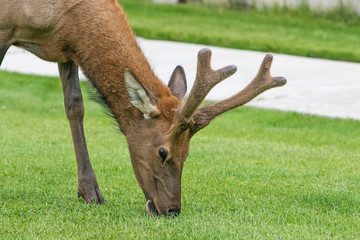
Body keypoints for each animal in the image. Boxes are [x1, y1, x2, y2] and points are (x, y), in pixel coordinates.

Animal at [0, 0, 286, 217]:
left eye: (187, 153)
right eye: (162, 152)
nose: (172, 210)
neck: (60, 17)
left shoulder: (66, 49)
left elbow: (75, 107)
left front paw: (90, 192)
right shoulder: (6, 28)